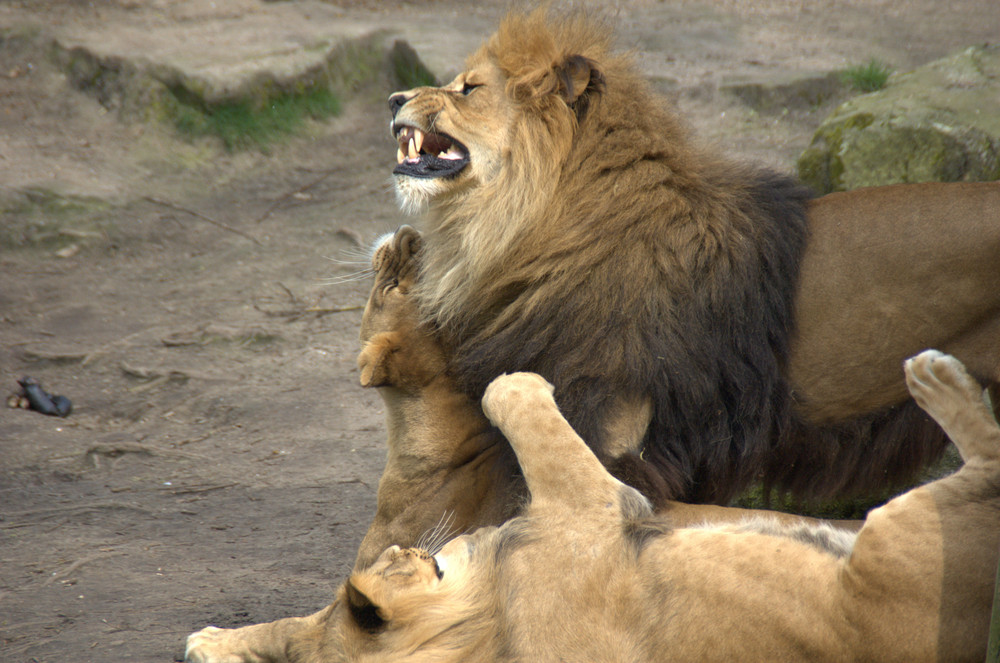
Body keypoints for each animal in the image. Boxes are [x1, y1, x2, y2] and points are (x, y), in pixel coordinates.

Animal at [338, 358, 1000, 663]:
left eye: (392, 560)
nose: (407, 546)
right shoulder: (597, 504)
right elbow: (518, 403)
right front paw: (520, 379)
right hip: (901, 533)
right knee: (988, 464)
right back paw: (938, 379)